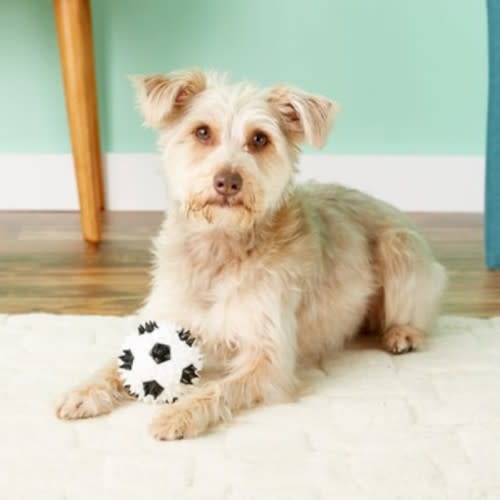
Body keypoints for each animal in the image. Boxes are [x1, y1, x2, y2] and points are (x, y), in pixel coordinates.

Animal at [56, 71, 448, 442]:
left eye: (259, 138)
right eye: (202, 132)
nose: (228, 181)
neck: (220, 248)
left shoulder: (268, 359)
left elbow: (217, 390)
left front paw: (177, 415)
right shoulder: (164, 323)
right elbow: (116, 366)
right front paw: (84, 391)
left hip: (401, 248)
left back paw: (402, 334)